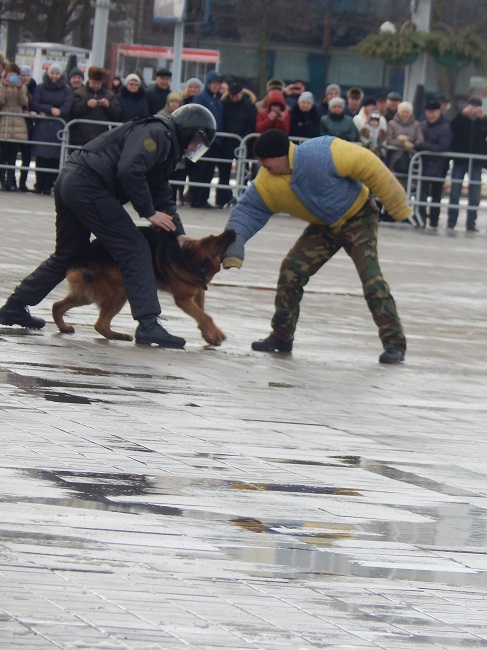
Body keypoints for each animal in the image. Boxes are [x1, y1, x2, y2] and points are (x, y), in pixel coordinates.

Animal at [53, 225, 236, 344]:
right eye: (217, 242)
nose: (233, 231)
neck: (185, 258)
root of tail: (84, 256)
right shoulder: (184, 300)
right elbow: (205, 316)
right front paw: (216, 334)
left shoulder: (198, 294)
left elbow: (202, 314)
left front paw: (209, 334)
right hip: (119, 292)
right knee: (100, 325)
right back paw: (120, 336)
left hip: (86, 295)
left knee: (57, 306)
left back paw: (63, 327)